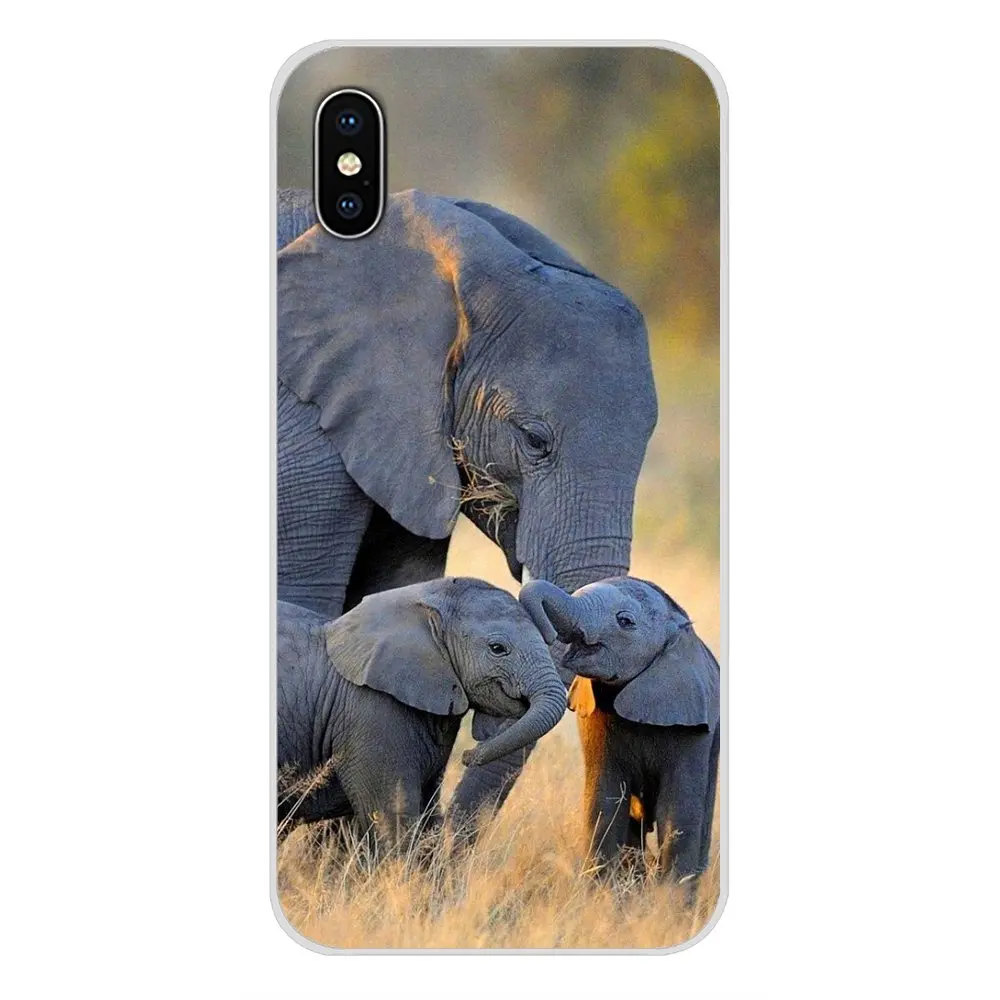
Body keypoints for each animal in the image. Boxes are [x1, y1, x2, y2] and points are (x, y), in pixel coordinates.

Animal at [277, 577, 566, 850]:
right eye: (497, 648)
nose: (467, 756)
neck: (424, 599)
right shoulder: (370, 714)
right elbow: (393, 821)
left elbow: (428, 814)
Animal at [519, 577, 720, 889]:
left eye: (625, 621)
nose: (549, 637)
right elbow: (604, 802)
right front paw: (602, 895)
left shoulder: (692, 725)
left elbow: (678, 812)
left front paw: (669, 901)